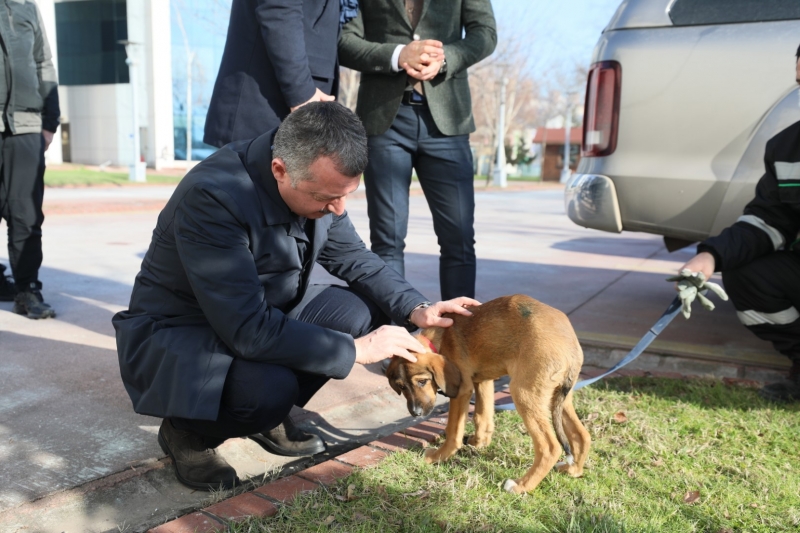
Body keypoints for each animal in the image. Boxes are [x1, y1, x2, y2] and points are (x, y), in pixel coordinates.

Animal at [384, 294, 592, 492]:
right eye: (401, 387)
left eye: (422, 381)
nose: (416, 413)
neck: (440, 338)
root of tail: (571, 345)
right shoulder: (483, 381)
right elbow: (482, 416)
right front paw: (479, 442)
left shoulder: (462, 390)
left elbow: (453, 431)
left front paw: (438, 456)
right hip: (558, 396)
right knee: (581, 435)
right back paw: (572, 470)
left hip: (524, 394)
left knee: (549, 447)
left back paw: (521, 486)